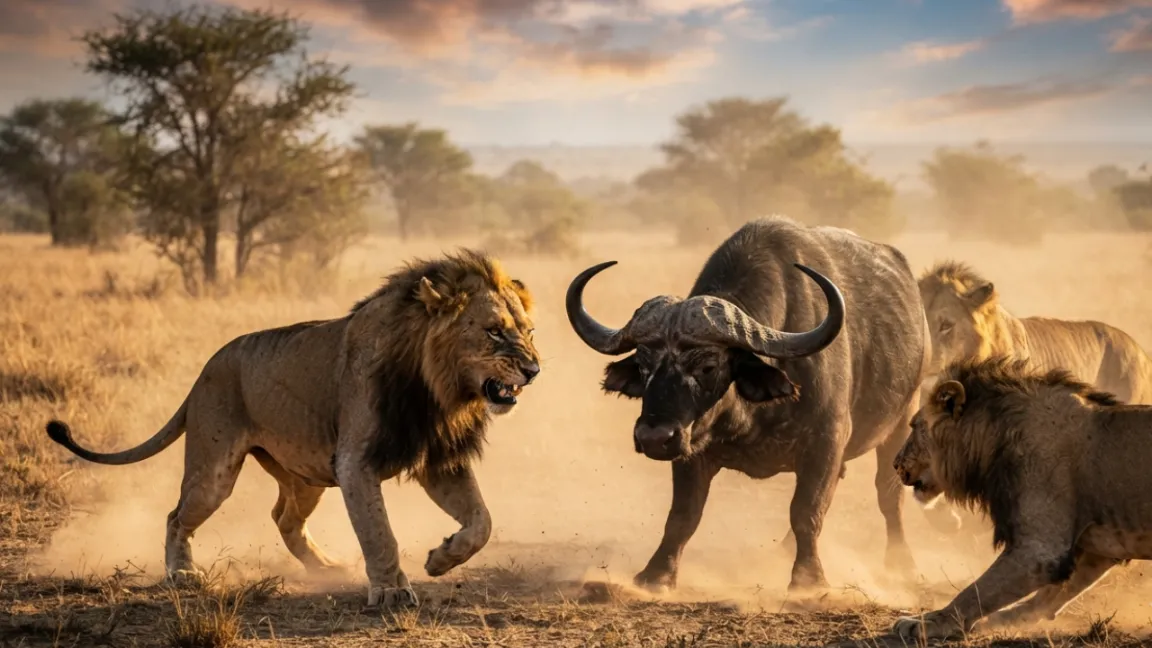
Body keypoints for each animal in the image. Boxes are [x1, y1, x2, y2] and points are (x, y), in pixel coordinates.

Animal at [45, 249, 542, 609]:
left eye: (530, 331)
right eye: (494, 331)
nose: (534, 370)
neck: (438, 390)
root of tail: (205, 369)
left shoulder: (438, 458)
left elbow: (482, 521)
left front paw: (441, 559)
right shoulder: (355, 463)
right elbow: (379, 532)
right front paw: (390, 591)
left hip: (307, 475)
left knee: (283, 518)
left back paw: (327, 568)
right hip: (215, 472)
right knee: (177, 516)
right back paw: (182, 573)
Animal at [891, 355, 1151, 641]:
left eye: (914, 426)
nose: (895, 464)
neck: (994, 436)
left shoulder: (1040, 550)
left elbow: (975, 592)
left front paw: (929, 622)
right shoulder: (1099, 547)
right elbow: (1047, 599)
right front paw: (998, 621)